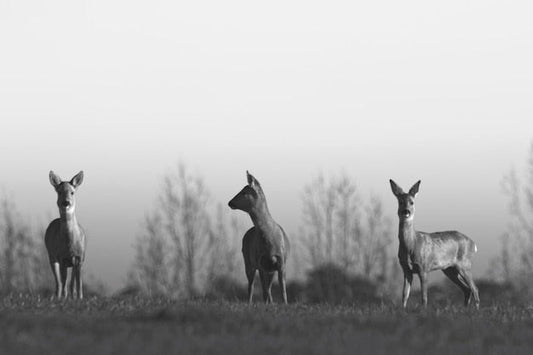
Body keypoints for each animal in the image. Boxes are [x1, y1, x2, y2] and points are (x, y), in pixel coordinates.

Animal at [227, 171, 288, 304]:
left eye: (244, 192)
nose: (230, 202)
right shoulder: (260, 262)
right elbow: (264, 292)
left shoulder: (281, 263)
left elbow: (283, 291)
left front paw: (285, 305)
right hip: (247, 261)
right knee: (251, 286)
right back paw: (249, 304)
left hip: (270, 269)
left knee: (268, 289)